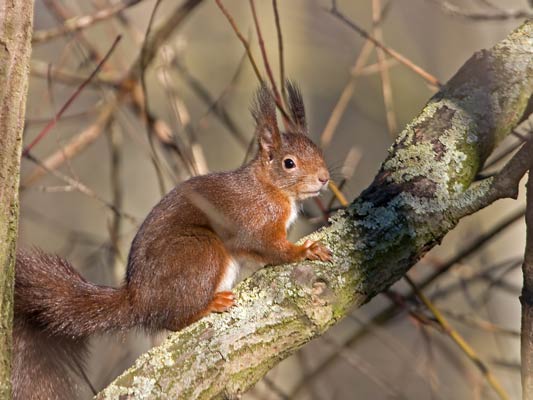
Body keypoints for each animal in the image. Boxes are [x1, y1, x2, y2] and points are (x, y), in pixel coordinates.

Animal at [12, 83, 330, 398]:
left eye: (318, 151)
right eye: (289, 163)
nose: (325, 178)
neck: (270, 187)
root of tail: (138, 298)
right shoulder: (254, 221)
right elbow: (270, 247)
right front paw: (305, 250)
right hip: (200, 251)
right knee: (173, 319)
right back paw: (209, 305)